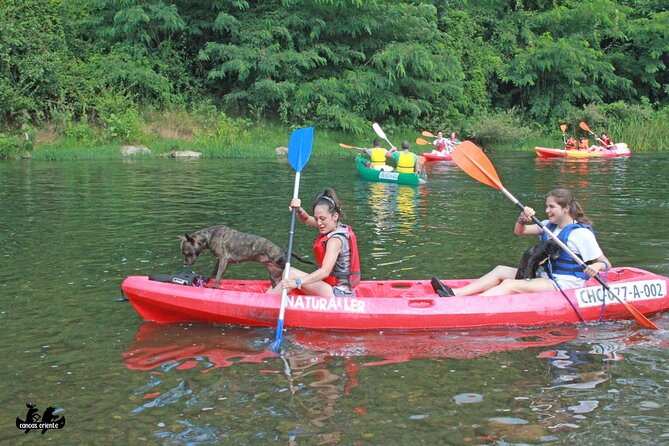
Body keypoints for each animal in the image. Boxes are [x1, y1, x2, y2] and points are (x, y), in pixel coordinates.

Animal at [179, 225, 312, 288]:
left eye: (187, 253)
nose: (184, 264)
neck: (208, 236)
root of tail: (283, 250)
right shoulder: (219, 260)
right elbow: (213, 272)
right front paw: (206, 280)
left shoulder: (223, 259)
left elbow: (218, 276)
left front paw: (214, 287)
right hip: (275, 276)